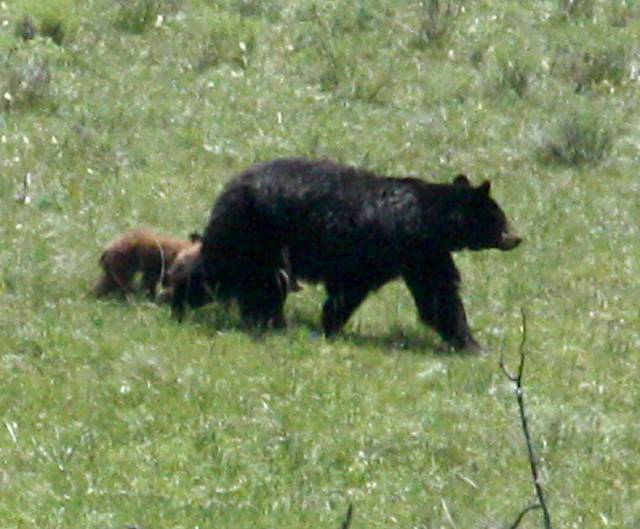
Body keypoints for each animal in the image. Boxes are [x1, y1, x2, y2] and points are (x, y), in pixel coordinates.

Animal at [197, 158, 521, 351]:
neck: (430, 218)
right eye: (500, 218)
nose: (517, 238)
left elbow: (436, 294)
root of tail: (229, 189)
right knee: (244, 279)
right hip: (256, 235)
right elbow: (433, 294)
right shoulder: (406, 250)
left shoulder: (422, 254)